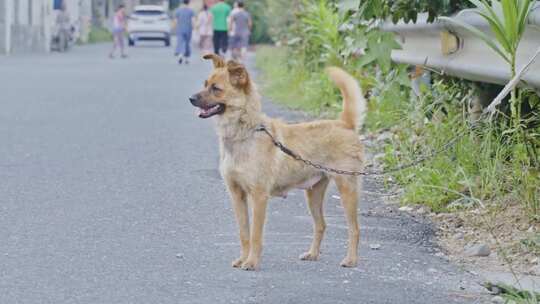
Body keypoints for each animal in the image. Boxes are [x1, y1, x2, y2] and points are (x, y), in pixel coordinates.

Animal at [190, 54, 368, 270]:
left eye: (216, 88)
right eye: (205, 84)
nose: (191, 99)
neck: (244, 132)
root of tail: (344, 124)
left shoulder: (259, 197)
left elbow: (255, 235)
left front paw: (251, 262)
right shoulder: (237, 195)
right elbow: (244, 233)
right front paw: (242, 259)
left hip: (347, 189)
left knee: (355, 229)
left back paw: (351, 259)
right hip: (314, 194)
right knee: (321, 225)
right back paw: (312, 254)